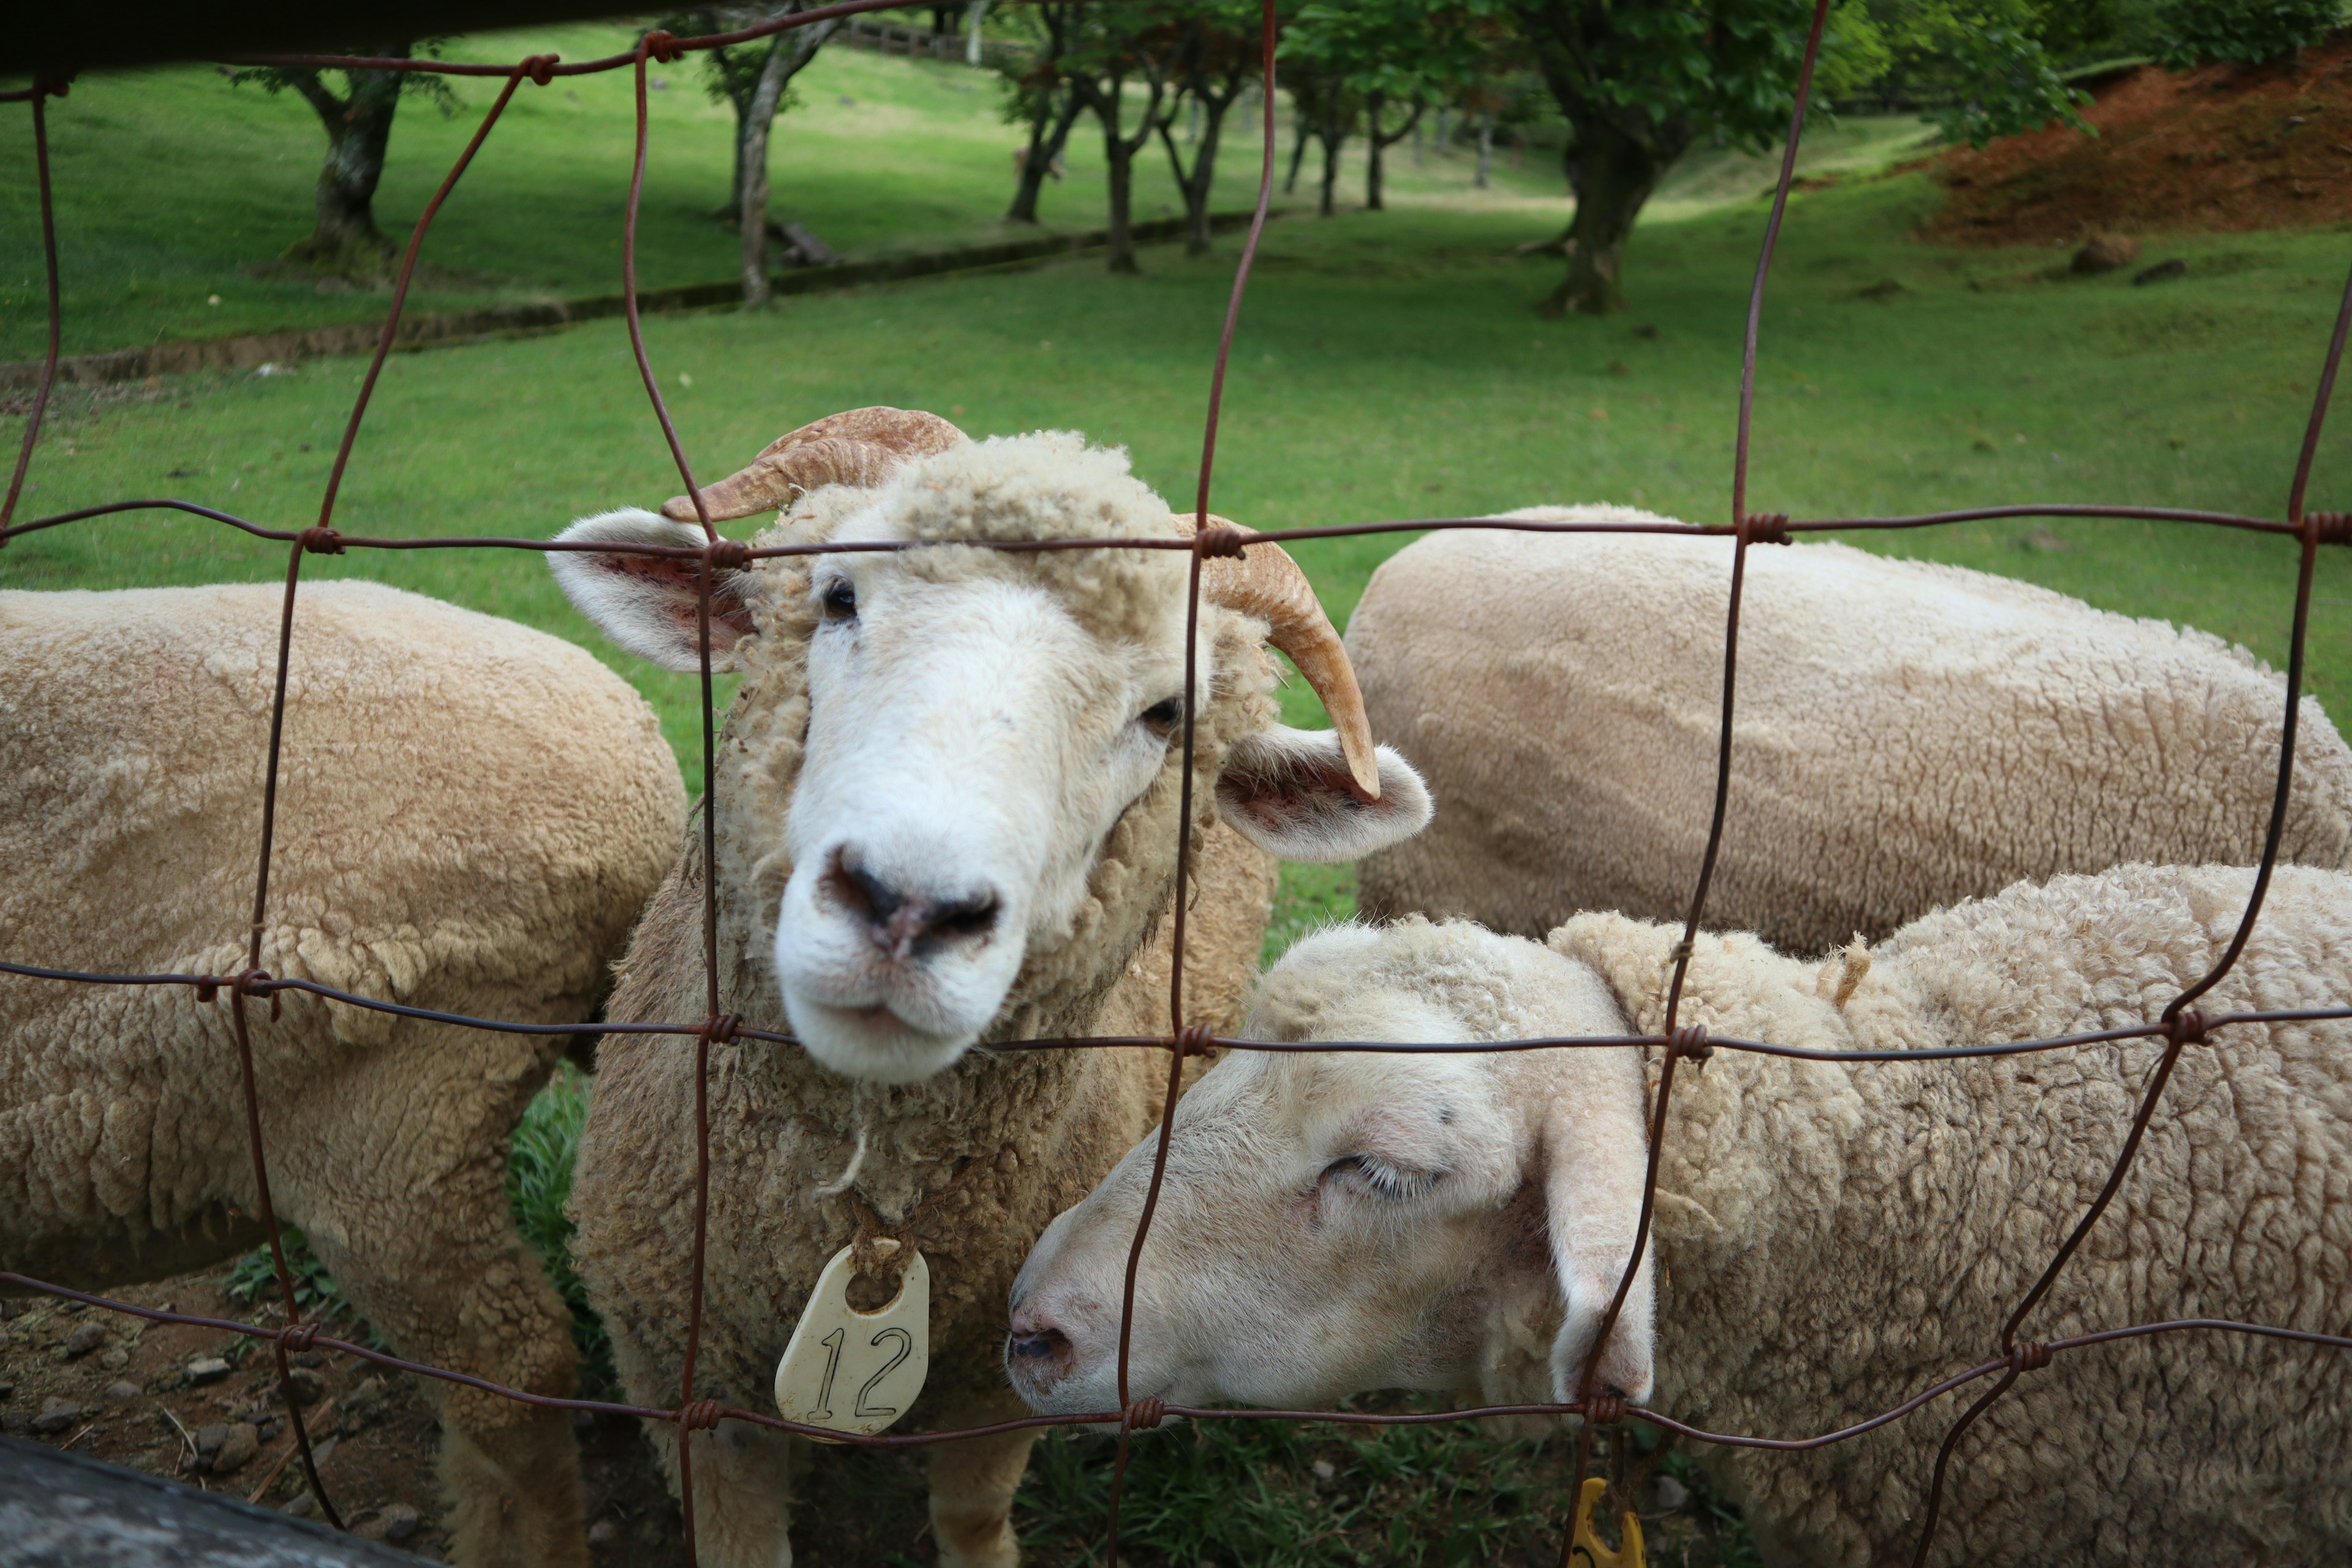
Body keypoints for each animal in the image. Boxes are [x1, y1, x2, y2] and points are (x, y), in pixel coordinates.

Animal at [550, 409, 1430, 1568]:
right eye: (837, 597)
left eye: (1166, 714)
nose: (907, 909)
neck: (860, 1205)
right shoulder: (677, 1376)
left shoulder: (998, 1379)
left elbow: (970, 1516)